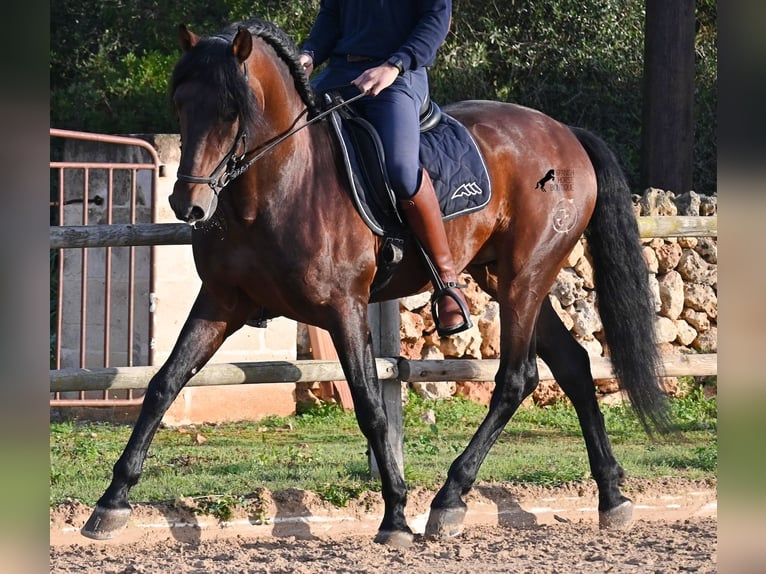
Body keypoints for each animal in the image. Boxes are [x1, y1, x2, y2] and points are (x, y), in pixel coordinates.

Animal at [81, 19, 670, 546]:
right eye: (181, 105)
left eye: (233, 110)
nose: (189, 204)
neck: (280, 184)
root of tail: (565, 133)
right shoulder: (222, 301)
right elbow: (163, 385)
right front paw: (110, 504)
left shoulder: (344, 308)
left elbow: (369, 405)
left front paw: (395, 516)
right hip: (503, 276)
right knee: (572, 364)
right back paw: (611, 496)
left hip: (526, 276)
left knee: (515, 378)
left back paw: (449, 500)